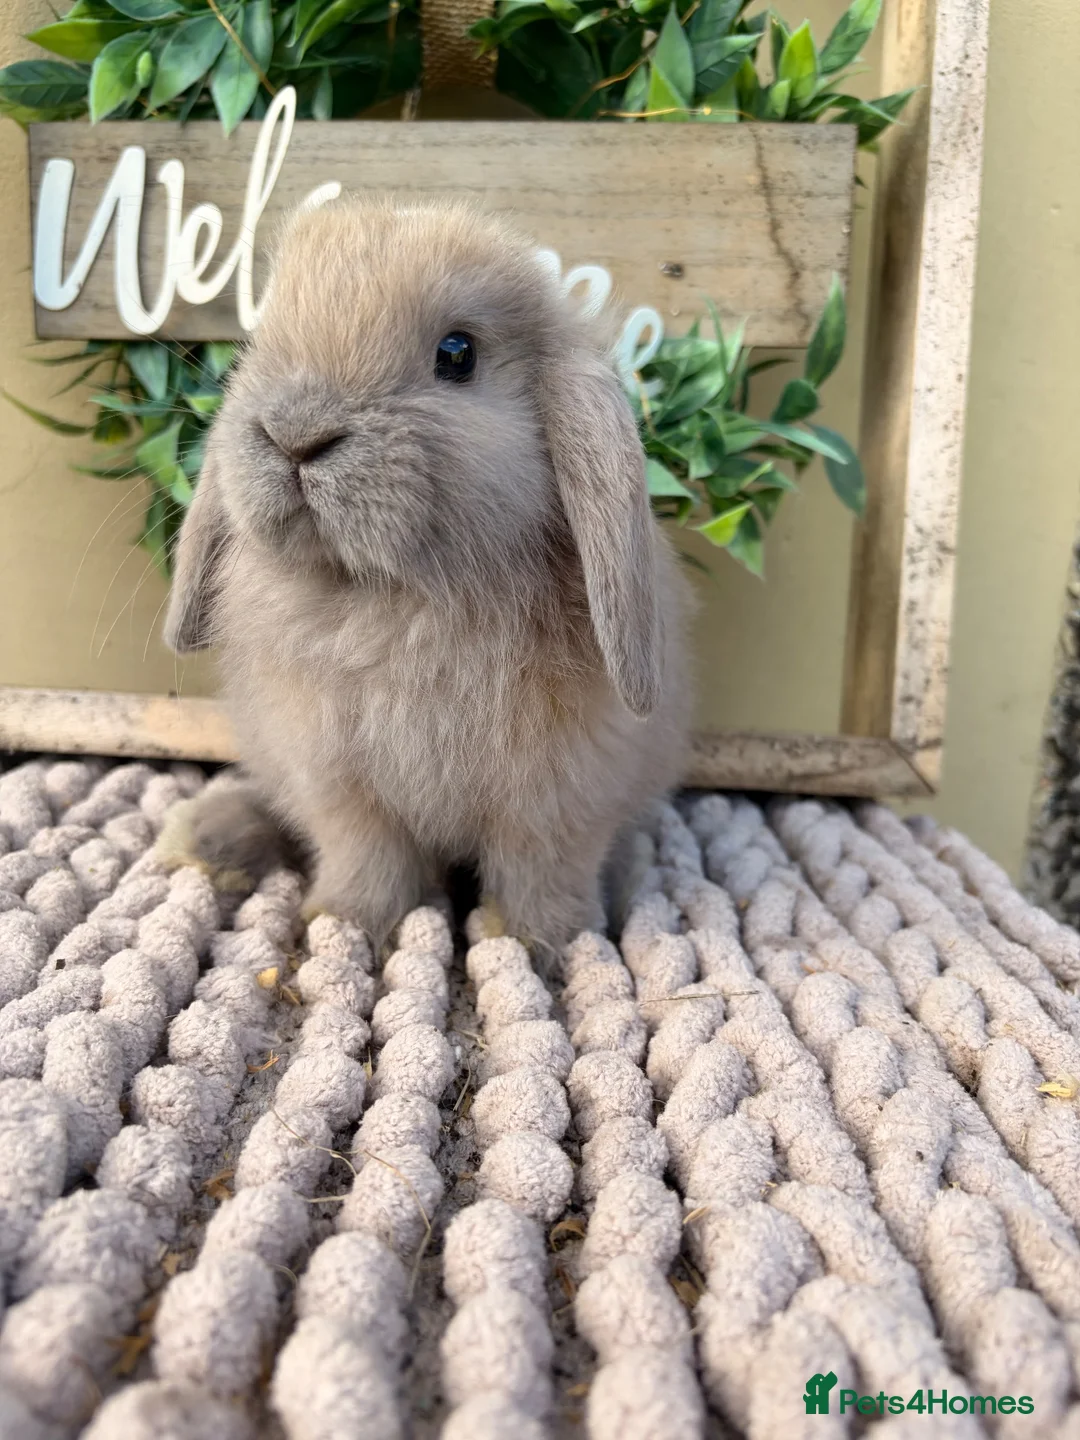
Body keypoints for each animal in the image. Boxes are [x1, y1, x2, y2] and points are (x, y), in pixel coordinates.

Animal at [162, 194, 693, 958]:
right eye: (261, 338)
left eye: (457, 354)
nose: (295, 435)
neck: (390, 599)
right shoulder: (338, 782)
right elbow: (367, 856)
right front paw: (343, 924)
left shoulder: (561, 794)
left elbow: (541, 870)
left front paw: (542, 944)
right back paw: (207, 838)